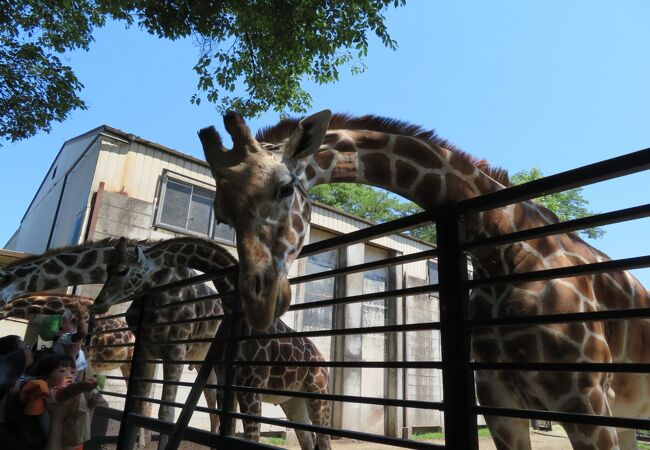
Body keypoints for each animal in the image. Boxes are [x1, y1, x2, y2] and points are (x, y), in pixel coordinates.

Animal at [92, 237, 332, 448]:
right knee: (308, 441)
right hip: (294, 404)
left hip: (318, 399)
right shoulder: (228, 387)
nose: (99, 303)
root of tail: (323, 362)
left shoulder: (251, 388)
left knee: (324, 440)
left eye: (122, 270)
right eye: (108, 267)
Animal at [197, 110, 648, 450]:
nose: (261, 302)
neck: (504, 247)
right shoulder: (498, 404)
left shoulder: (585, 401)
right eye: (223, 215)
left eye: (285, 188)